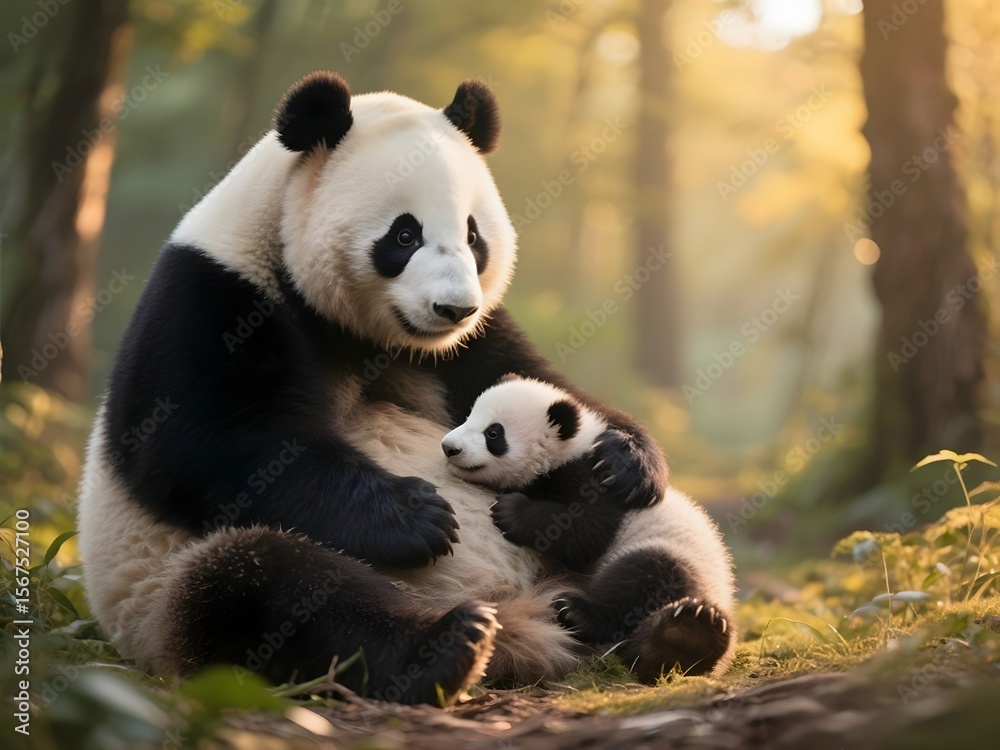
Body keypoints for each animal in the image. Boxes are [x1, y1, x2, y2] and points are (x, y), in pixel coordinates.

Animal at [76, 71, 671, 706]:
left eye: (473, 236)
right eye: (404, 235)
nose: (454, 308)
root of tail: (522, 606)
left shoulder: (469, 344)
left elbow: (536, 384)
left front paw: (625, 457)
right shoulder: (213, 293)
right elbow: (203, 441)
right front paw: (416, 516)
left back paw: (672, 630)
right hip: (168, 589)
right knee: (272, 586)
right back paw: (447, 646)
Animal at [440, 376, 736, 679]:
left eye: (493, 434)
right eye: (468, 416)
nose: (449, 448)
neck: (572, 447)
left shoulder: (596, 479)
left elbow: (584, 532)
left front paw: (510, 511)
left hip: (671, 554)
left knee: (644, 579)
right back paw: (682, 641)